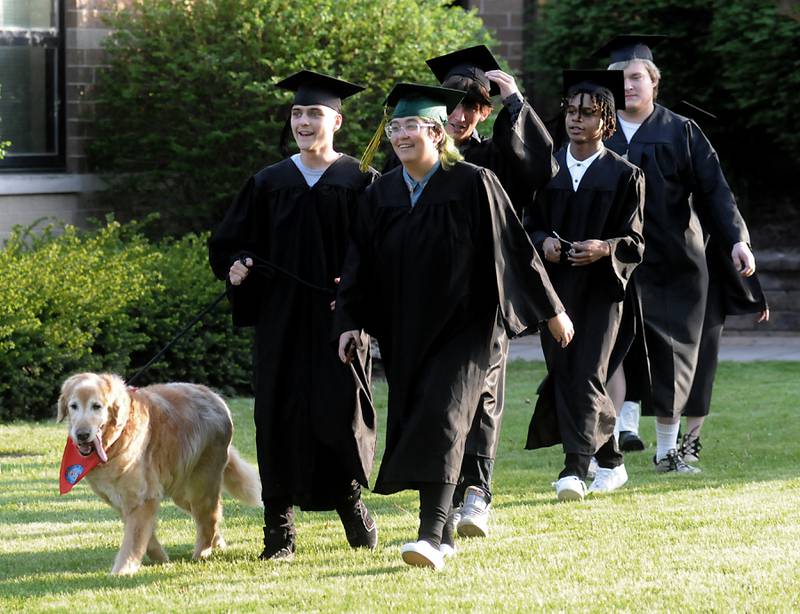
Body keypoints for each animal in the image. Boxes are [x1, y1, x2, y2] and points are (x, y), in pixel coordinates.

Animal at [57, 376, 260, 576]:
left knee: (209, 517)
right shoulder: (122, 500)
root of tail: (213, 396)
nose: (82, 434)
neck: (115, 440)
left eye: (96, 406)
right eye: (73, 406)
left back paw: (202, 553)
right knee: (212, 514)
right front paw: (161, 558)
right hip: (183, 492)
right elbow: (145, 537)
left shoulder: (142, 497)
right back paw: (218, 544)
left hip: (201, 484)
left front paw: (122, 570)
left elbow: (134, 539)